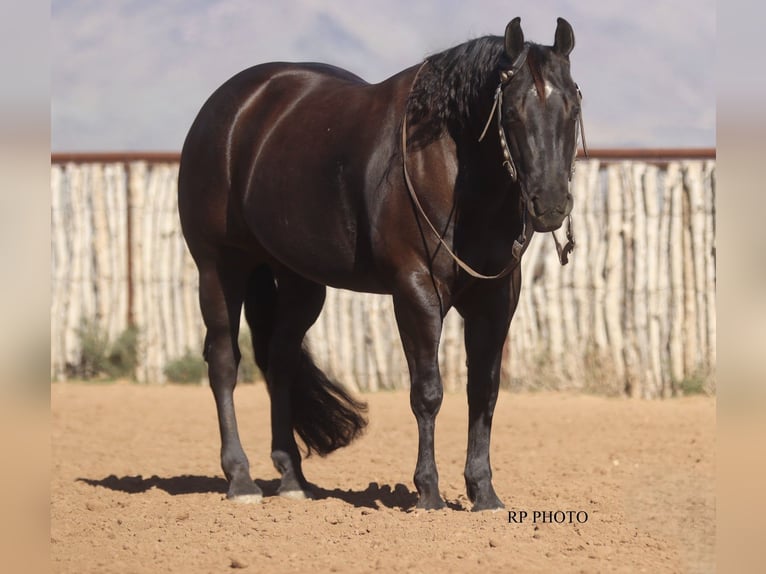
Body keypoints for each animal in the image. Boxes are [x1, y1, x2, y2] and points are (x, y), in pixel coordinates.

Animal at [178, 17, 583, 511]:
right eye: (511, 113)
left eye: (572, 106)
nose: (551, 203)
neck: (449, 167)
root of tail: (226, 109)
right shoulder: (415, 291)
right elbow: (427, 392)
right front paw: (428, 492)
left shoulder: (496, 299)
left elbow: (484, 392)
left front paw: (484, 493)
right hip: (219, 267)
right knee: (223, 362)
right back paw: (240, 479)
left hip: (297, 282)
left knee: (281, 361)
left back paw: (293, 479)